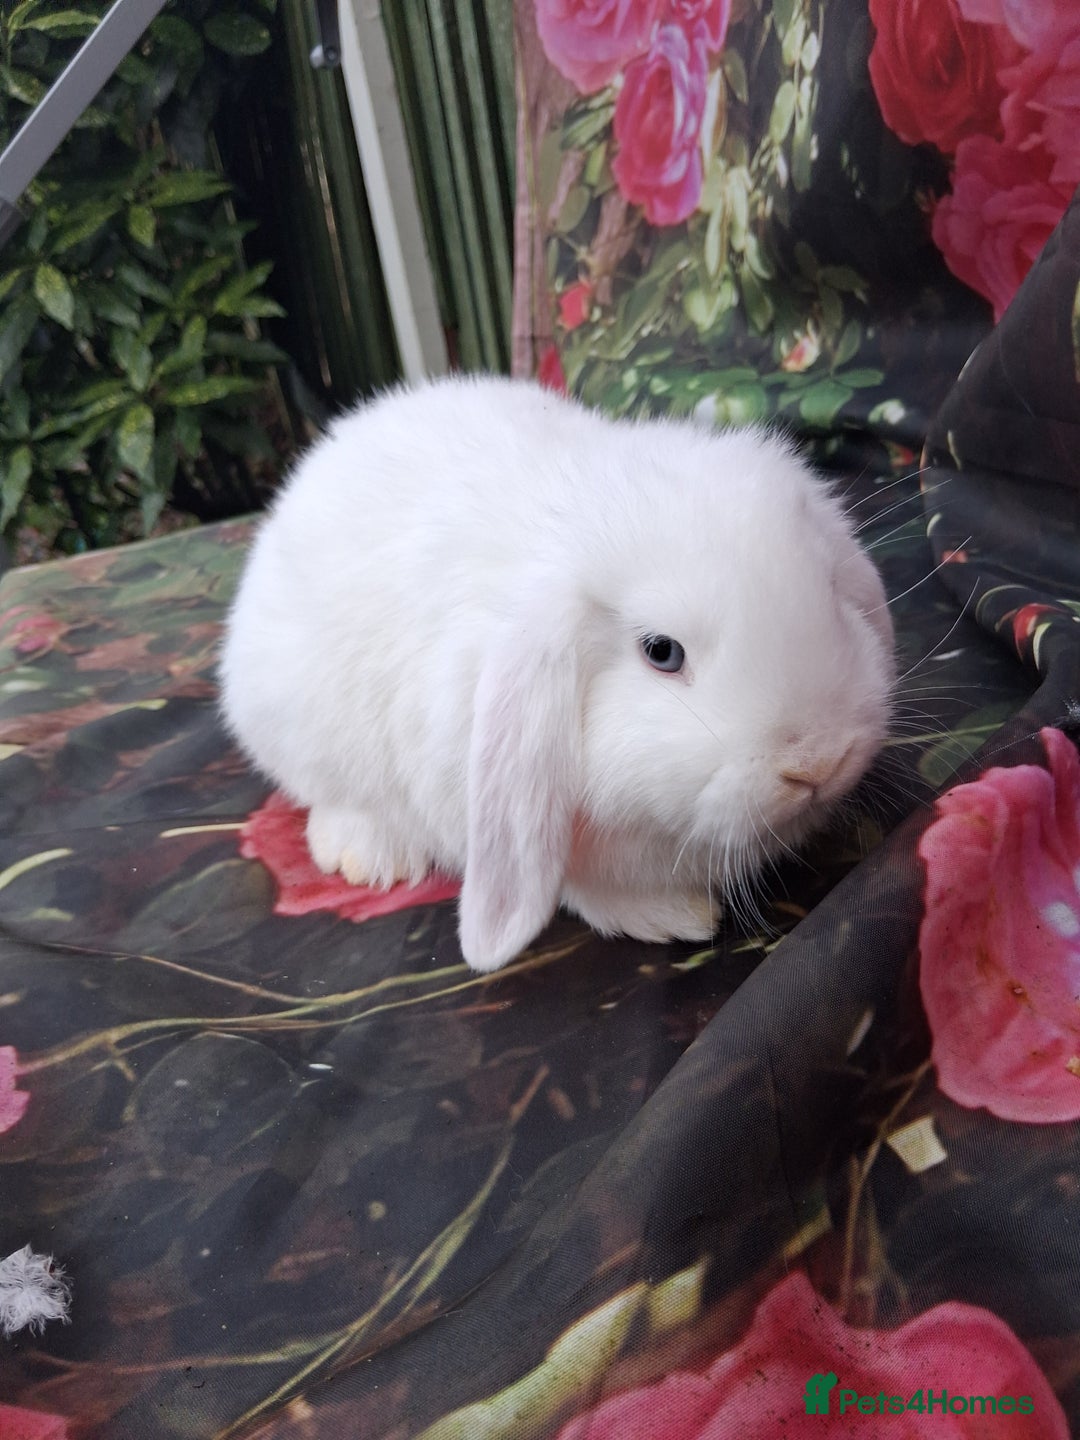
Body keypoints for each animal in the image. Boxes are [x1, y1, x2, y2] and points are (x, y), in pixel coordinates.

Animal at [219, 374, 895, 974]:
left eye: (831, 590)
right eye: (662, 652)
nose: (819, 764)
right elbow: (573, 886)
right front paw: (671, 916)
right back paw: (367, 855)